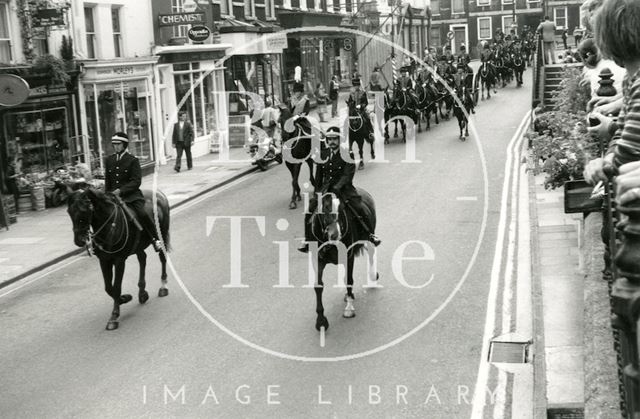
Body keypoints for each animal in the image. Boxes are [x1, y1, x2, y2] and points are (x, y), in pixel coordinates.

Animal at [67, 188, 170, 332]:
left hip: (162, 235)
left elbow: (116, 287)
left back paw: (163, 286)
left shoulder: (119, 260)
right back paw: (142, 292)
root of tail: (159, 193)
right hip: (138, 246)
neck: (109, 227)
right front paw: (124, 298)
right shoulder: (104, 260)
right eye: (69, 212)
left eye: (84, 210)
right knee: (142, 259)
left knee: (162, 258)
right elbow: (108, 288)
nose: (79, 240)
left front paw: (114, 316)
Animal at [312, 188, 380, 332]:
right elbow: (318, 286)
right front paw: (321, 320)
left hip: (369, 236)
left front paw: (349, 309)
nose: (335, 234)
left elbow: (348, 280)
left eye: (342, 208)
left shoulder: (349, 257)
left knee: (371, 252)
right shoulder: (318, 261)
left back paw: (372, 277)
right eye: (324, 208)